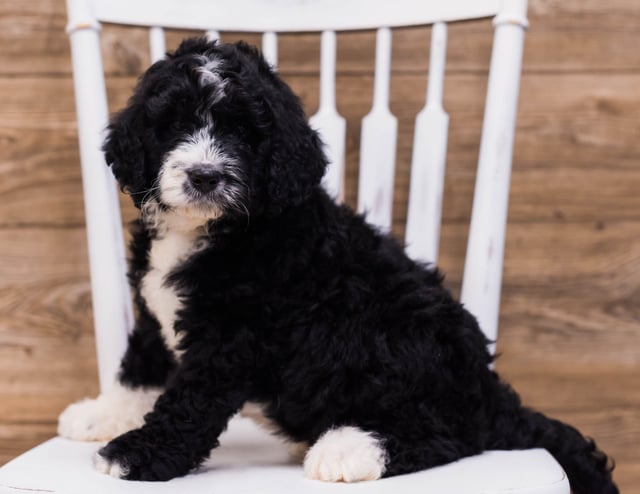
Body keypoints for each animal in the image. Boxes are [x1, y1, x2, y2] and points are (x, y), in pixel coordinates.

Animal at [57, 38, 616, 494]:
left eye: (242, 133)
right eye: (173, 124)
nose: (204, 175)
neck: (208, 229)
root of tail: (490, 391)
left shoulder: (233, 336)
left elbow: (189, 399)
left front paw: (136, 455)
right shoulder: (156, 312)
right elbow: (141, 366)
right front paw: (102, 414)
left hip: (404, 337)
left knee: (450, 435)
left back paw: (349, 447)